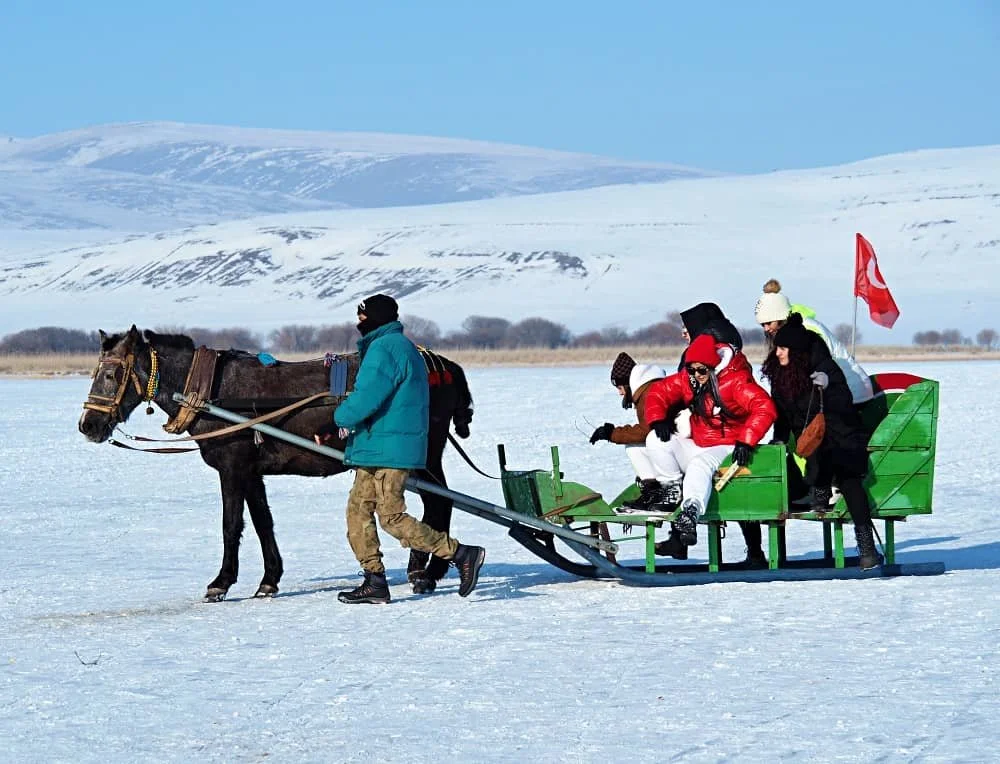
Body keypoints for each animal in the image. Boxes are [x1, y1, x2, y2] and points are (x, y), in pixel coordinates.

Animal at [78, 325, 474, 601]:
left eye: (111, 374)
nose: (88, 425)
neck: (208, 393)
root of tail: (444, 365)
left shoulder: (232, 467)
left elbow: (230, 525)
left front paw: (221, 583)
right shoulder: (251, 472)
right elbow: (261, 523)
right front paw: (269, 580)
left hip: (423, 455)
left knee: (439, 502)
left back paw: (428, 572)